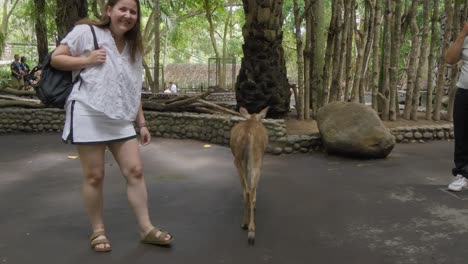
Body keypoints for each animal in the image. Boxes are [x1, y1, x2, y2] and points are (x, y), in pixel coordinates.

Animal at [229, 105, 268, 243]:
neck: (252, 118)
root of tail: (248, 137)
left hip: (239, 161)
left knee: (247, 191)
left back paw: (247, 226)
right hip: (256, 161)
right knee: (250, 191)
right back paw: (250, 228)